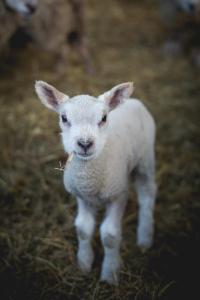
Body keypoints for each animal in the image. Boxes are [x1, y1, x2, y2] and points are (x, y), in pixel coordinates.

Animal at [34, 81, 157, 284]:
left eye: (104, 118)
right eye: (64, 118)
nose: (85, 143)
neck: (91, 180)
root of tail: (133, 100)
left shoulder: (118, 194)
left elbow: (110, 235)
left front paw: (110, 274)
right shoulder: (82, 196)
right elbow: (83, 228)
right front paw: (84, 264)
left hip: (145, 159)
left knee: (147, 195)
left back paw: (145, 238)